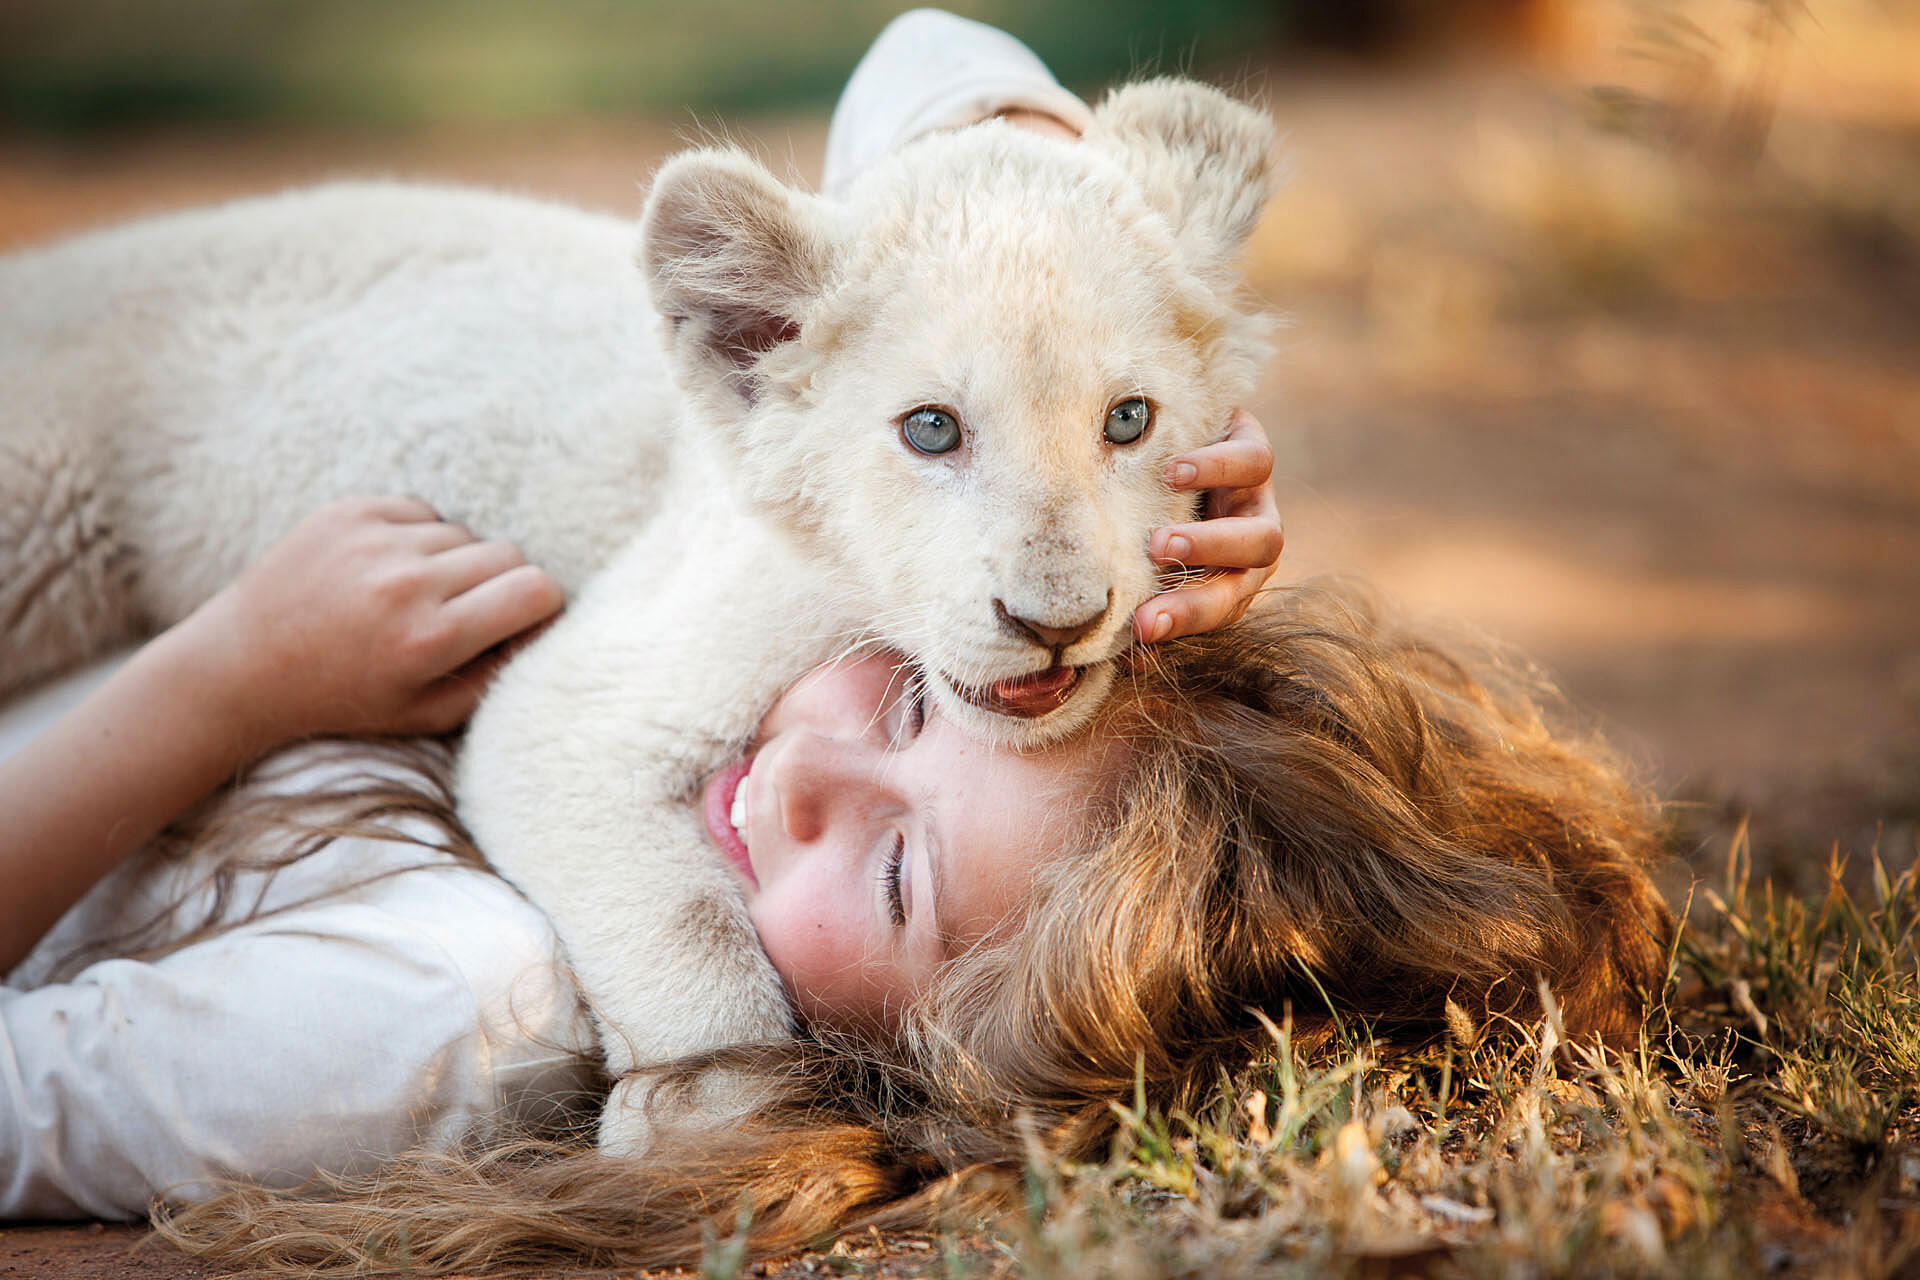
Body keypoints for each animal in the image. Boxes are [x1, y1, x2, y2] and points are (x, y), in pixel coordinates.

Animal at [0, 79, 1277, 1151]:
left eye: (1128, 419)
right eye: (931, 428)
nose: (1057, 618)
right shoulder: (585, 688)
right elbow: (685, 919)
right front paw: (713, 1100)